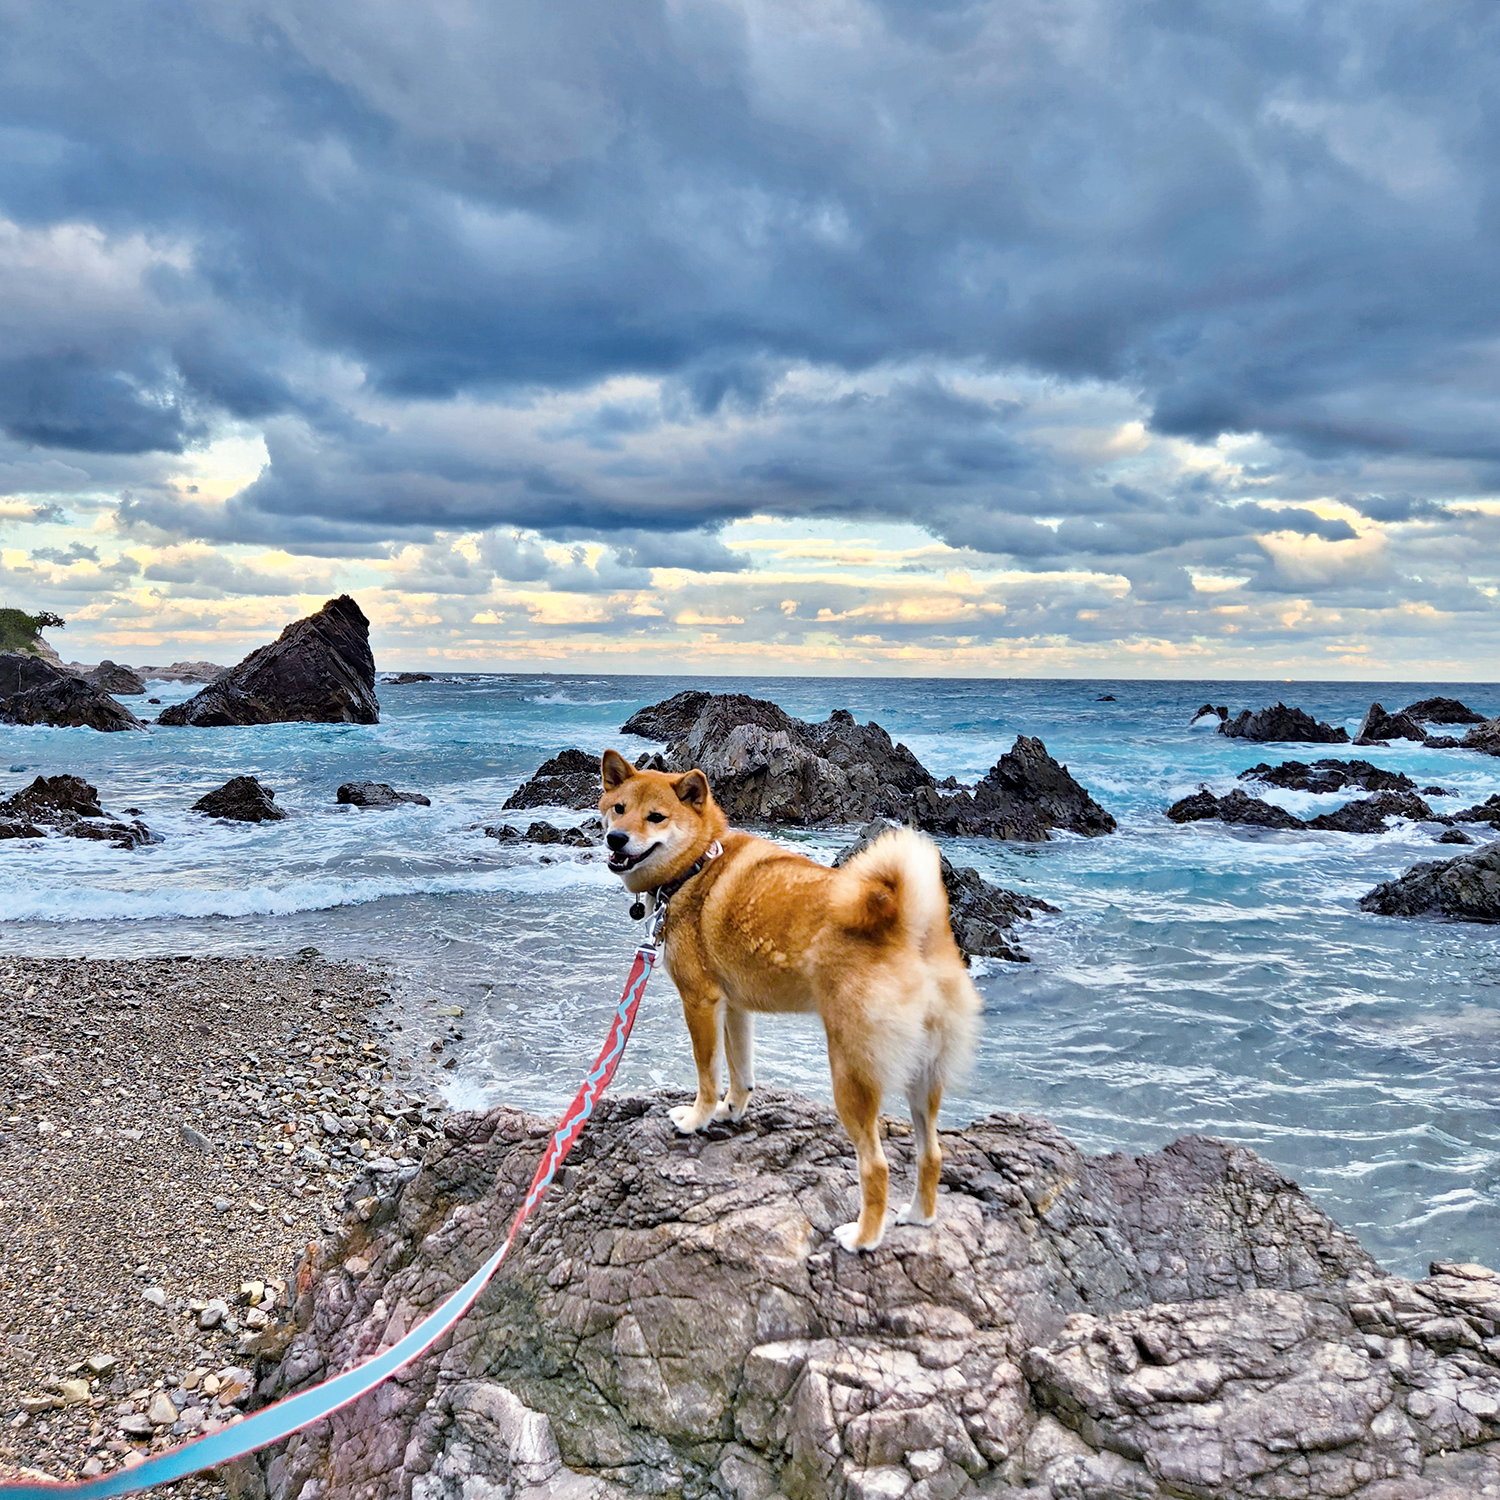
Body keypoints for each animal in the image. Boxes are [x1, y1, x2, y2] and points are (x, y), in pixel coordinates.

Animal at [599, 748, 981, 1251]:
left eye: (656, 817)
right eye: (619, 808)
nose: (616, 838)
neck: (699, 865)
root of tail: (908, 927)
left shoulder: (699, 1002)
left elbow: (707, 1075)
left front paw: (698, 1118)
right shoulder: (735, 1008)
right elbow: (740, 1073)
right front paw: (731, 1110)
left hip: (851, 1074)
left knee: (876, 1165)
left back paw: (862, 1237)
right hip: (924, 1076)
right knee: (931, 1154)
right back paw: (917, 1216)